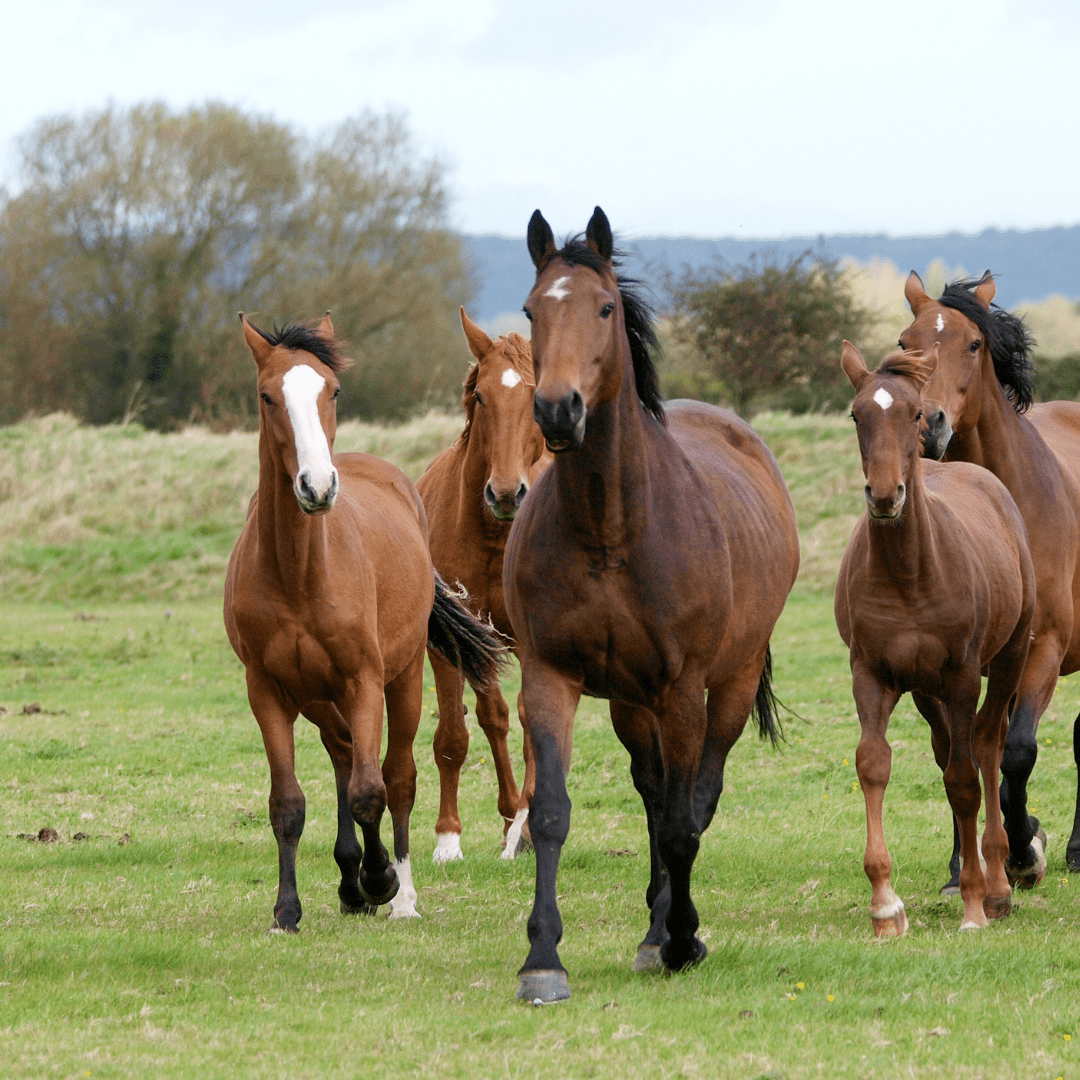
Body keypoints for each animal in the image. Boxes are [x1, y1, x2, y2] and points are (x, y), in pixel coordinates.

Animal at [224, 313, 509, 928]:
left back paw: (397, 894)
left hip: (401, 681)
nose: (317, 485)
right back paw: (349, 883)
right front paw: (287, 911)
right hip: (317, 696)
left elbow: (371, 791)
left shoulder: (364, 681)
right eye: (267, 395)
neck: (301, 573)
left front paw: (381, 880)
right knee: (341, 755)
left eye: (333, 390)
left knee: (395, 777)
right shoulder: (268, 691)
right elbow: (288, 802)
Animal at [501, 208, 799, 1002]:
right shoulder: (550, 677)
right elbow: (551, 812)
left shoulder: (684, 689)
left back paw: (672, 931)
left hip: (724, 687)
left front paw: (686, 939)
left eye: (605, 308)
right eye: (531, 310)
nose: (558, 409)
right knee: (653, 788)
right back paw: (652, 928)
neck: (611, 527)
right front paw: (542, 959)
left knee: (695, 797)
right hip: (633, 704)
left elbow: (682, 822)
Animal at [829, 345, 1032, 937]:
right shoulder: (871, 675)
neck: (911, 573)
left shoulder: (963, 677)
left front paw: (974, 904)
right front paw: (884, 906)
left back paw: (997, 882)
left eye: (915, 413)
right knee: (950, 756)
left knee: (986, 747)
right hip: (925, 691)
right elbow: (874, 764)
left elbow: (966, 779)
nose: (884, 495)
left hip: (1008, 659)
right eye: (856, 415)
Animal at [898, 270, 1080, 885]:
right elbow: (953, 753)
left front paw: (1026, 848)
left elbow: (1018, 749)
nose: (927, 424)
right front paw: (963, 864)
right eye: (906, 344)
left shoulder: (1042, 645)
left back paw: (1075, 849)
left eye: (973, 345)